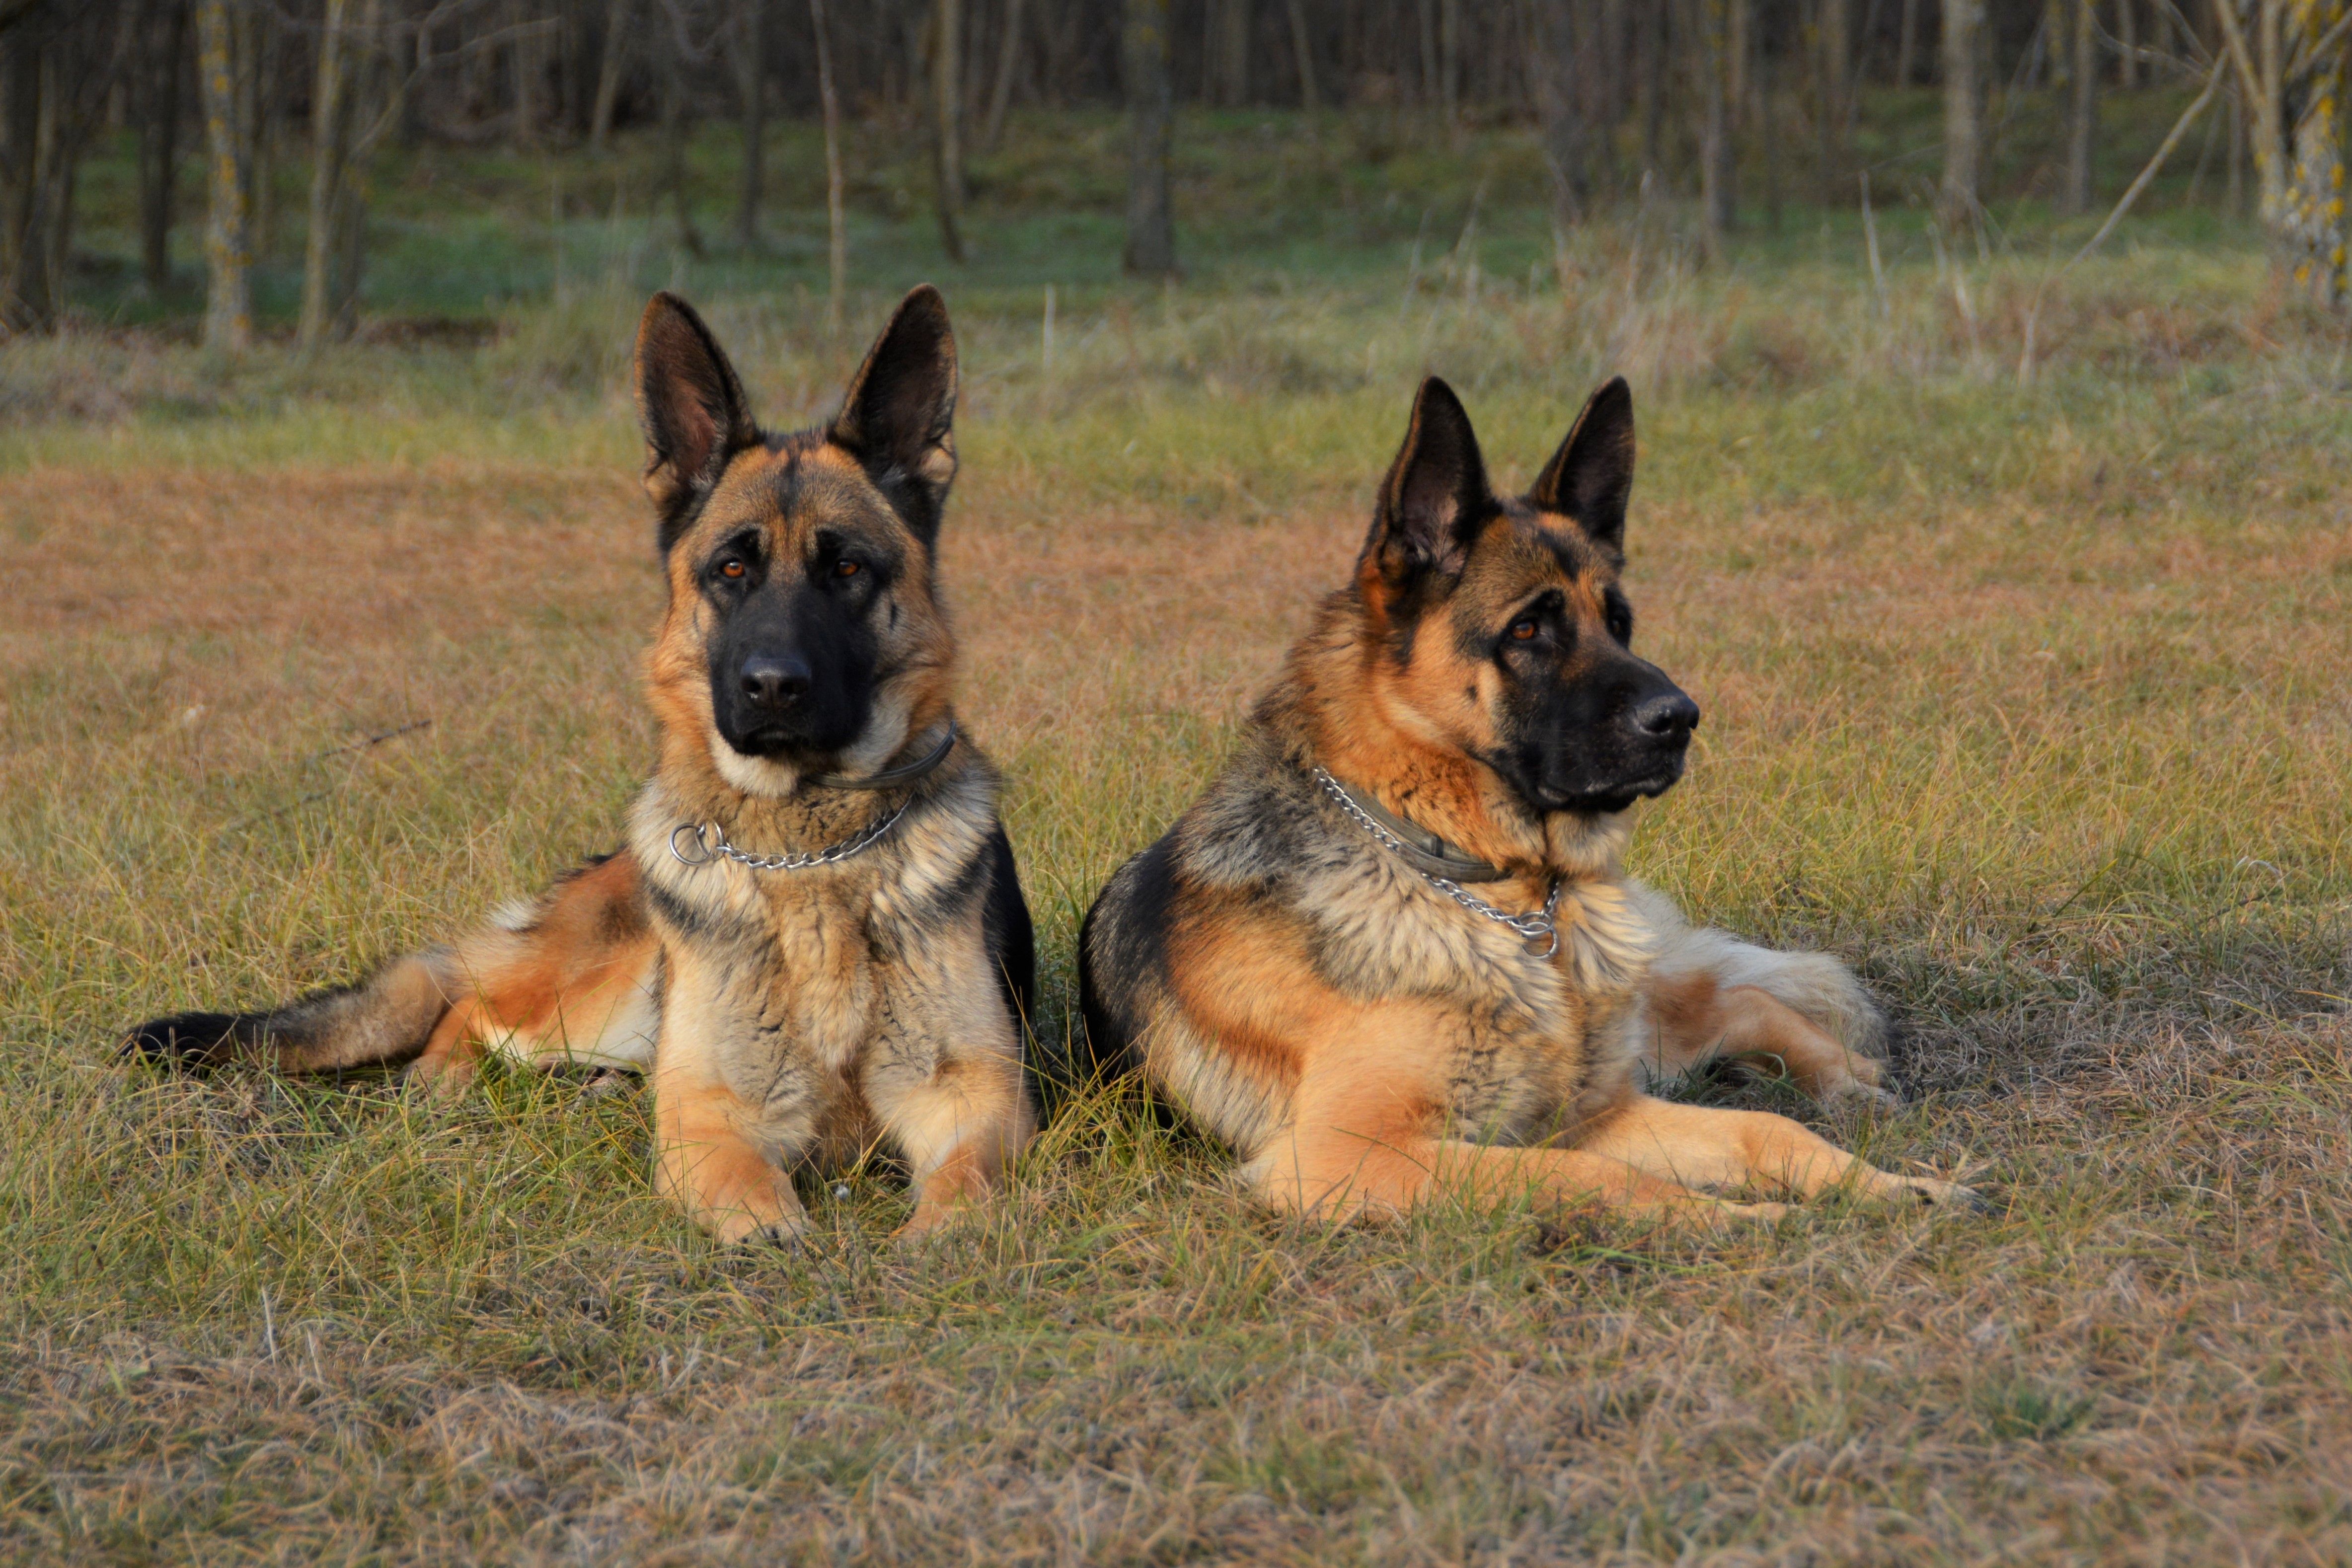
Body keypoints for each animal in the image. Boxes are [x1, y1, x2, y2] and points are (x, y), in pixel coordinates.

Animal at [124, 288, 1035, 1241]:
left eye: (849, 567)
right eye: (732, 568)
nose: (772, 688)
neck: (808, 853)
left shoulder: (979, 1099)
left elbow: (967, 1188)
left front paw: (938, 1235)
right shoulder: (710, 1112)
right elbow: (752, 1191)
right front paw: (780, 1231)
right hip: (592, 1000)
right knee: (470, 1007)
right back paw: (445, 1082)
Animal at [1082, 376, 1966, 1222]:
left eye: (1619, 623)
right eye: (1527, 631)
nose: (1680, 719)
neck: (1494, 892)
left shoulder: (1591, 1107)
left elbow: (1765, 1130)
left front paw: (1885, 1185)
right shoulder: (1347, 1152)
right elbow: (1593, 1177)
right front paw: (1739, 1220)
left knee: (1736, 997)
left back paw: (1847, 1078)